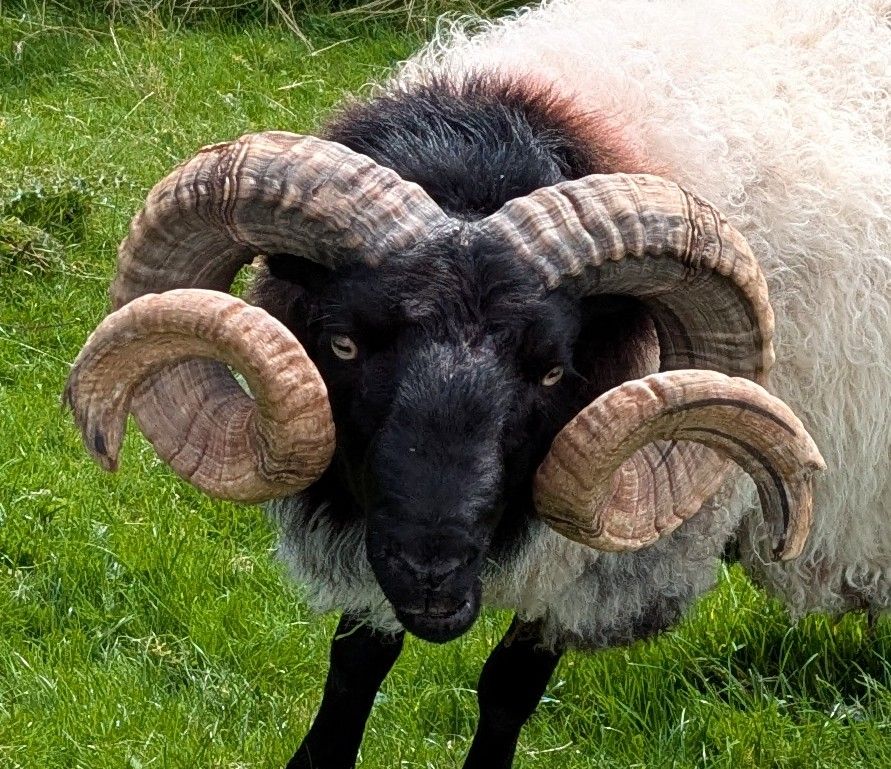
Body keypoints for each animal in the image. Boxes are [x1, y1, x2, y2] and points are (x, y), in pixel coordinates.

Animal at [63, 1, 889, 767]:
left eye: (554, 368)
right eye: (343, 342)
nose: (431, 574)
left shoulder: (599, 554)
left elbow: (507, 685)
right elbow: (356, 661)